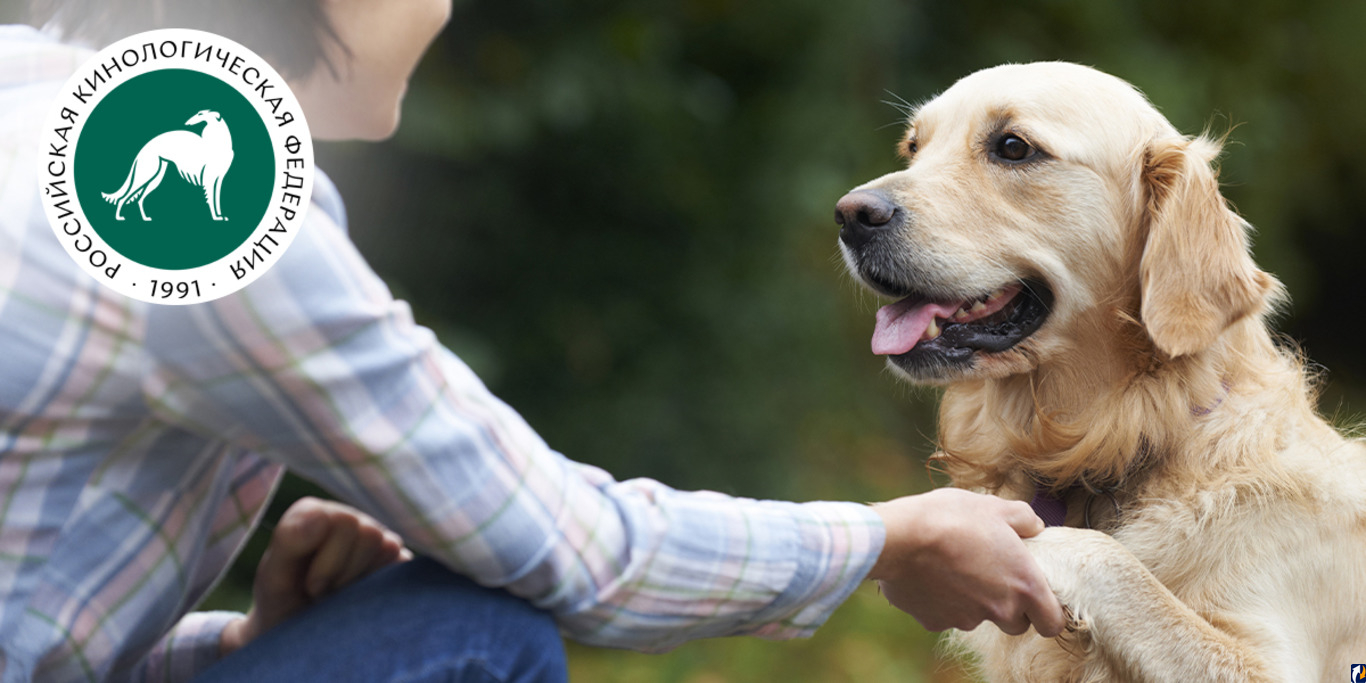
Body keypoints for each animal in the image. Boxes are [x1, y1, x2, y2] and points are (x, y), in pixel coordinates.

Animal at [835, 60, 1366, 683]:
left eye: (1012, 147)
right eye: (914, 147)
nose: (850, 215)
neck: (1131, 436)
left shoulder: (1274, 661)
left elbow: (1107, 559)